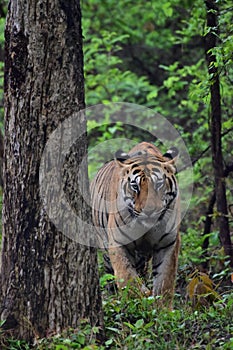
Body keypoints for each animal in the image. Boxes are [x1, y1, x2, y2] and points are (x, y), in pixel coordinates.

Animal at [90, 142, 180, 306]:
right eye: (135, 186)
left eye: (159, 184)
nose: (149, 211)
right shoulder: (118, 242)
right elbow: (127, 277)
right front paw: (134, 303)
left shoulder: (168, 243)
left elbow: (165, 282)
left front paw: (163, 309)